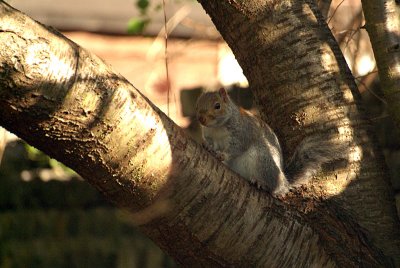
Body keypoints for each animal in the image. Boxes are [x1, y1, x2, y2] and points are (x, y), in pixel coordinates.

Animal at [195, 88, 346, 197]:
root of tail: (284, 182)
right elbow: (210, 143)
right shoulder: (210, 136)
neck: (217, 128)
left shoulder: (243, 133)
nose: (201, 119)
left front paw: (222, 155)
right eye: (197, 103)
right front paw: (208, 147)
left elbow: (236, 148)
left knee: (272, 187)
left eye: (217, 106)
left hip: (263, 160)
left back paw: (261, 183)